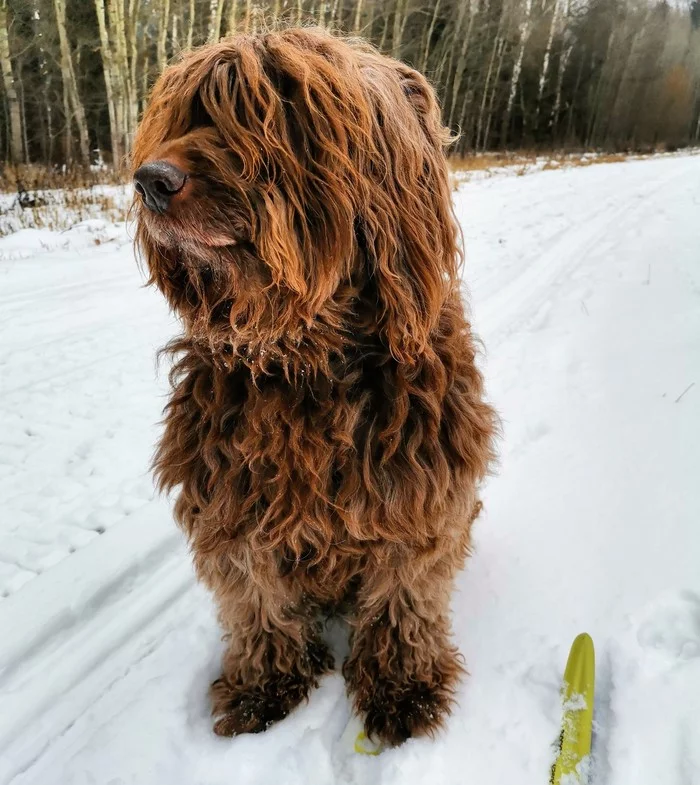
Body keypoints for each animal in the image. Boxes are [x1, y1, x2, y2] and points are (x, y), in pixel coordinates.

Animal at [130, 27, 492, 744]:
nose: (150, 181)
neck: (305, 355)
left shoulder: (419, 494)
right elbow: (255, 596)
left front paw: (401, 684)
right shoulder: (230, 503)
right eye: (184, 113)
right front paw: (265, 685)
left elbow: (405, 591)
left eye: (276, 111)